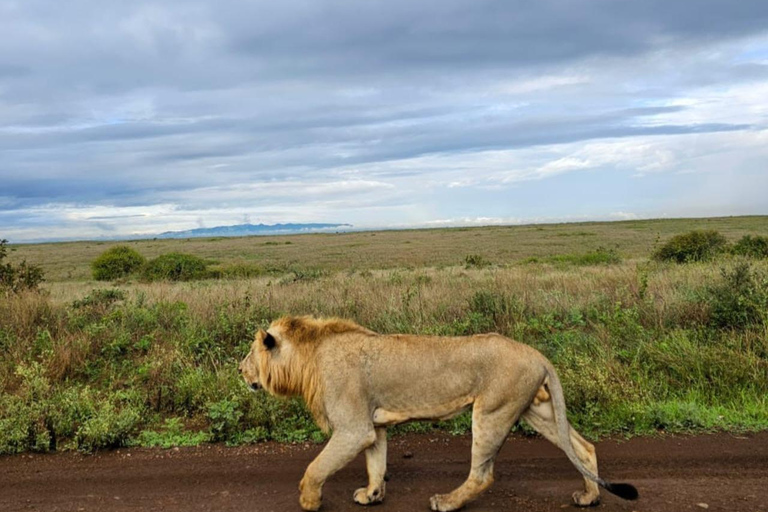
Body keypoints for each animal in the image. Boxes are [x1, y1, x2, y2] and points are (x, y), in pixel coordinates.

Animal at [238, 316, 636, 512]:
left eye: (250, 353)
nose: (240, 371)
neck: (309, 356)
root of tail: (538, 354)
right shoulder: (373, 427)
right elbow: (376, 464)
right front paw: (372, 496)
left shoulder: (353, 428)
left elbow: (315, 468)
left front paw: (309, 501)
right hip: (534, 409)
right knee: (583, 448)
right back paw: (589, 497)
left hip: (492, 411)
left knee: (482, 475)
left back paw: (445, 503)